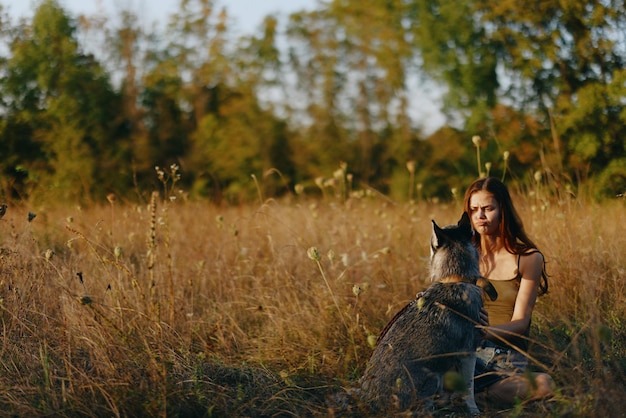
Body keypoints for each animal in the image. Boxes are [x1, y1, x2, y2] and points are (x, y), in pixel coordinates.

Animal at [358, 212, 494, 414]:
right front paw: (474, 411)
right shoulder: (468, 352)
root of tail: (370, 402)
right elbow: (468, 390)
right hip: (431, 379)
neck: (456, 278)